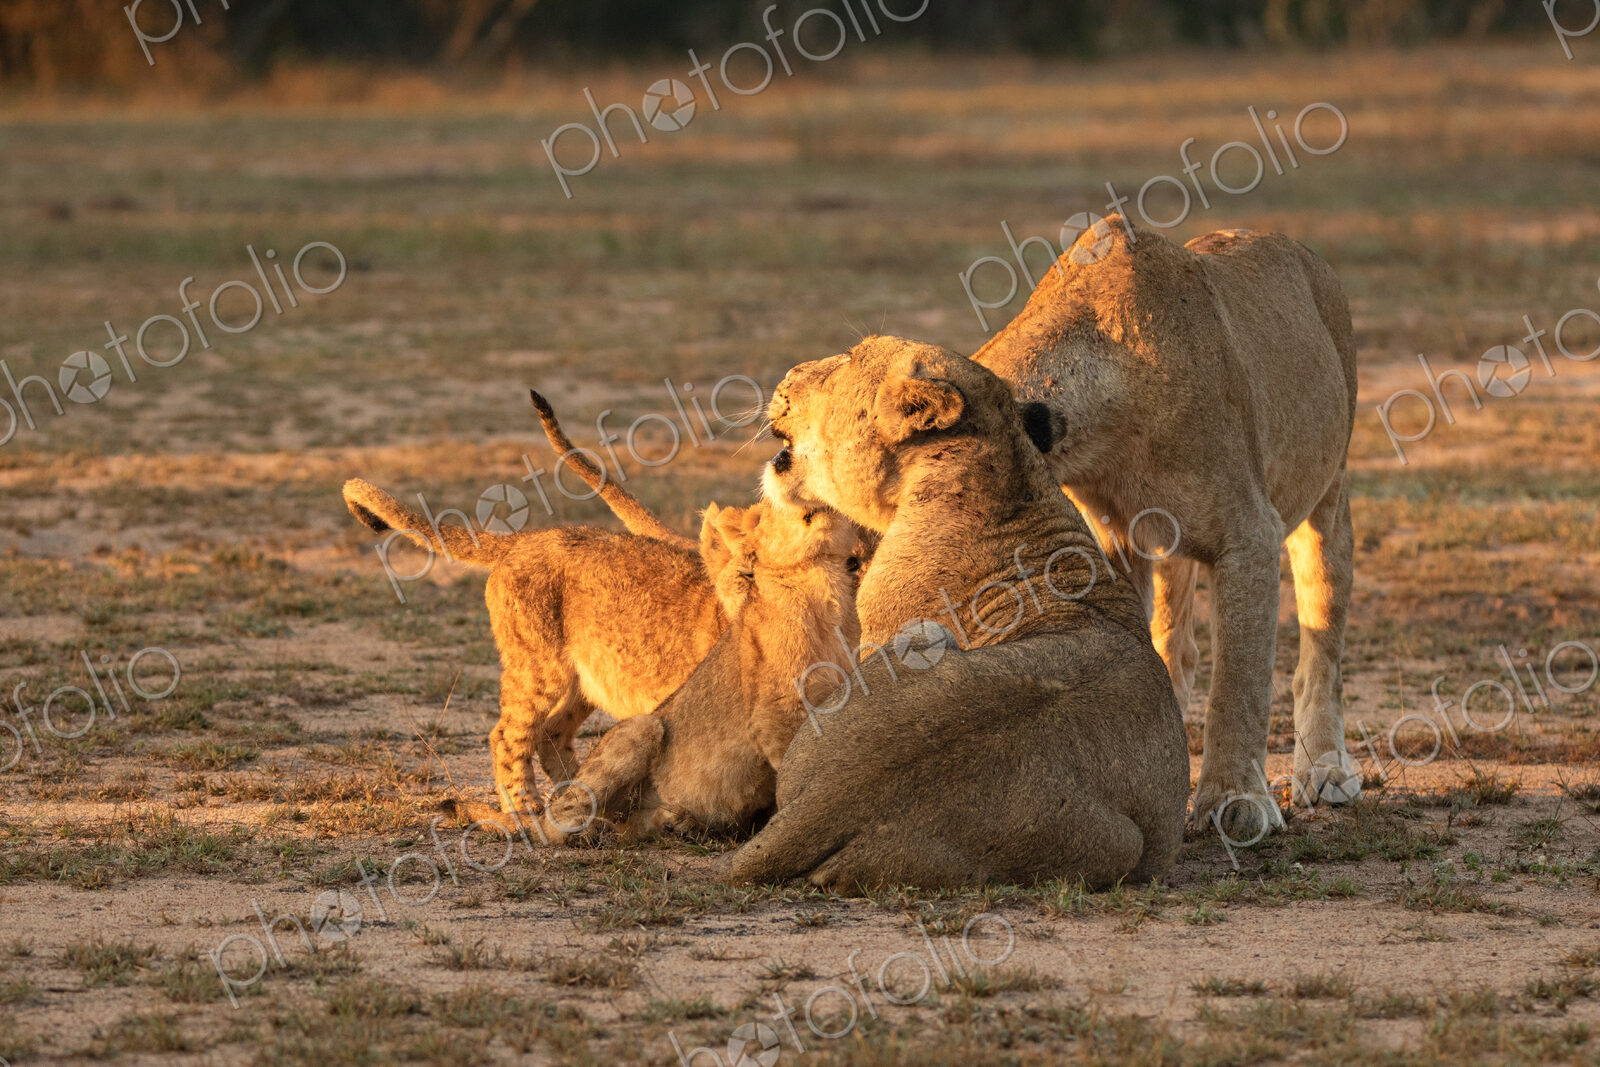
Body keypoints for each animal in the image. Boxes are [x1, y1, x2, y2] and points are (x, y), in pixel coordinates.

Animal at [531, 497, 860, 845]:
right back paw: (591, 831)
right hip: (643, 726)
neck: (827, 587)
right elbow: (791, 770)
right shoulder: (777, 713)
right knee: (555, 818)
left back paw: (679, 823)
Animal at [972, 215, 1360, 837]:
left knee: (1321, 639)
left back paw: (1325, 769)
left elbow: (1239, 684)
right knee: (1177, 644)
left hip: (1327, 491)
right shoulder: (1108, 546)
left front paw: (1234, 801)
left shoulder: (1251, 535)